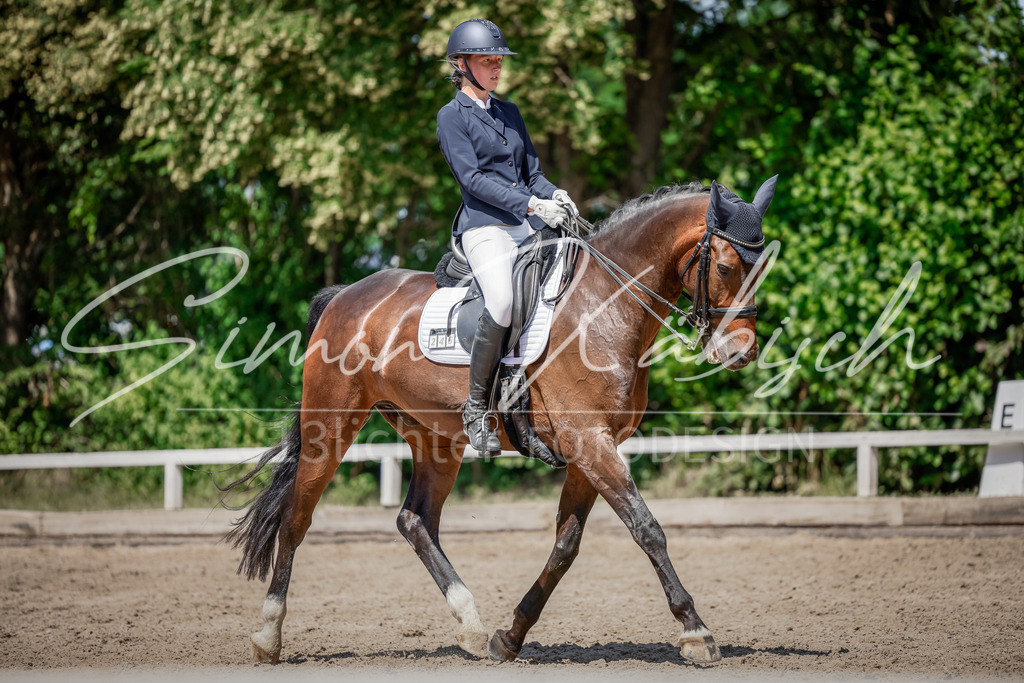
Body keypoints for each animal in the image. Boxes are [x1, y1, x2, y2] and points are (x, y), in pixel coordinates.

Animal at [223, 177, 778, 665]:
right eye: (725, 266)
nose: (741, 353)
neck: (603, 305)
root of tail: (344, 296)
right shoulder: (590, 443)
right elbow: (648, 530)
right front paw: (696, 632)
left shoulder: (591, 451)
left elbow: (565, 546)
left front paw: (509, 636)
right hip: (331, 425)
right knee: (297, 517)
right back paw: (268, 637)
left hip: (435, 438)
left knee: (415, 521)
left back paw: (470, 626)